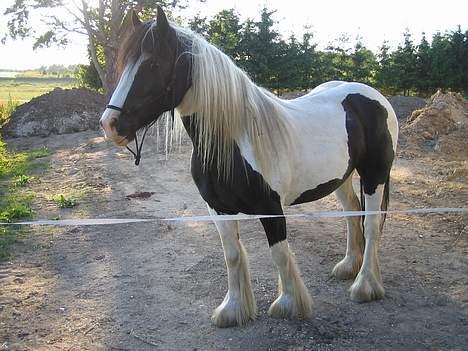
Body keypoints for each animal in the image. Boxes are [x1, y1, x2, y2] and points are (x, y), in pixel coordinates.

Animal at [98, 6, 398, 328]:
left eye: (153, 64)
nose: (110, 124)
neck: (235, 141)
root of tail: (373, 95)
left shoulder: (271, 208)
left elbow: (280, 254)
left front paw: (288, 304)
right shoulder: (217, 209)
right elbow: (232, 255)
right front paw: (232, 309)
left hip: (374, 176)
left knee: (371, 224)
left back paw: (364, 285)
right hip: (341, 177)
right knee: (352, 214)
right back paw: (348, 267)